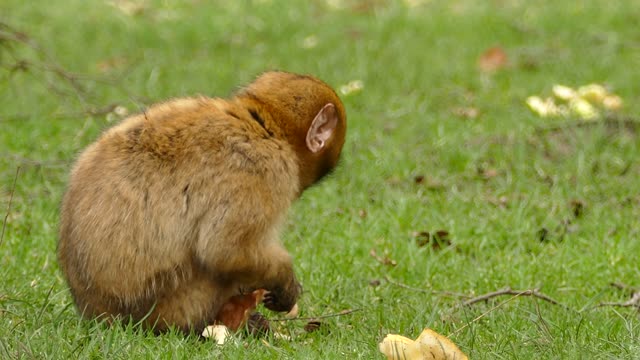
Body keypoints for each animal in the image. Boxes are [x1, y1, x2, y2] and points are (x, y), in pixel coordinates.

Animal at [57, 71, 348, 334]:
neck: (264, 127)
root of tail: (97, 314)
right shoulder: (264, 170)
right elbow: (224, 250)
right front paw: (285, 283)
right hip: (175, 305)